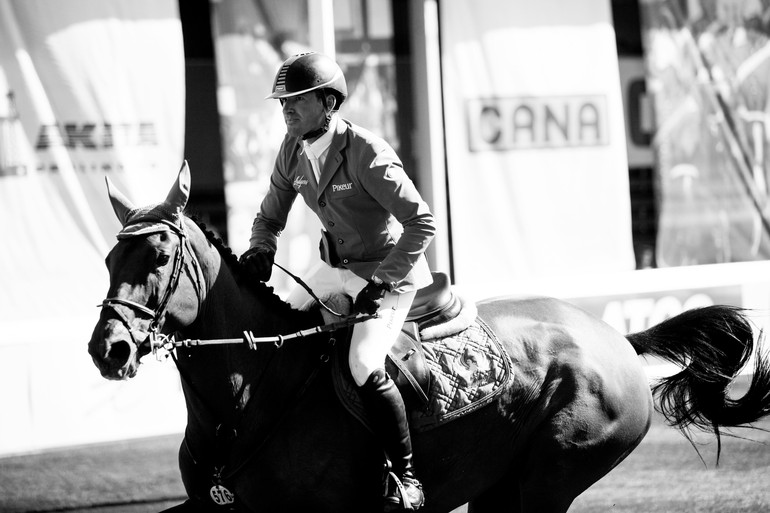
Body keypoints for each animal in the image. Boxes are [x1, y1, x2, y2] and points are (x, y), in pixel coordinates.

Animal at [87, 162, 768, 510]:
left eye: (157, 257)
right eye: (109, 260)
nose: (108, 349)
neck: (246, 399)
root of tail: (618, 340)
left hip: (549, 477)